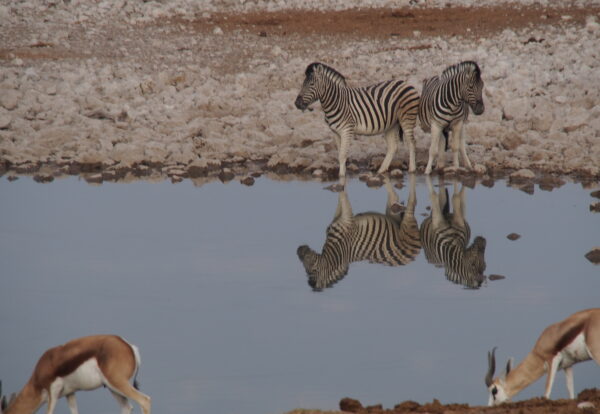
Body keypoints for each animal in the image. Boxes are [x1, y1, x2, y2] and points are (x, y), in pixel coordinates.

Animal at [0, 334, 150, 414]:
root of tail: (129, 346)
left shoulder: (53, 392)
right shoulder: (70, 393)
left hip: (117, 383)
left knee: (145, 400)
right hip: (112, 387)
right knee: (127, 407)